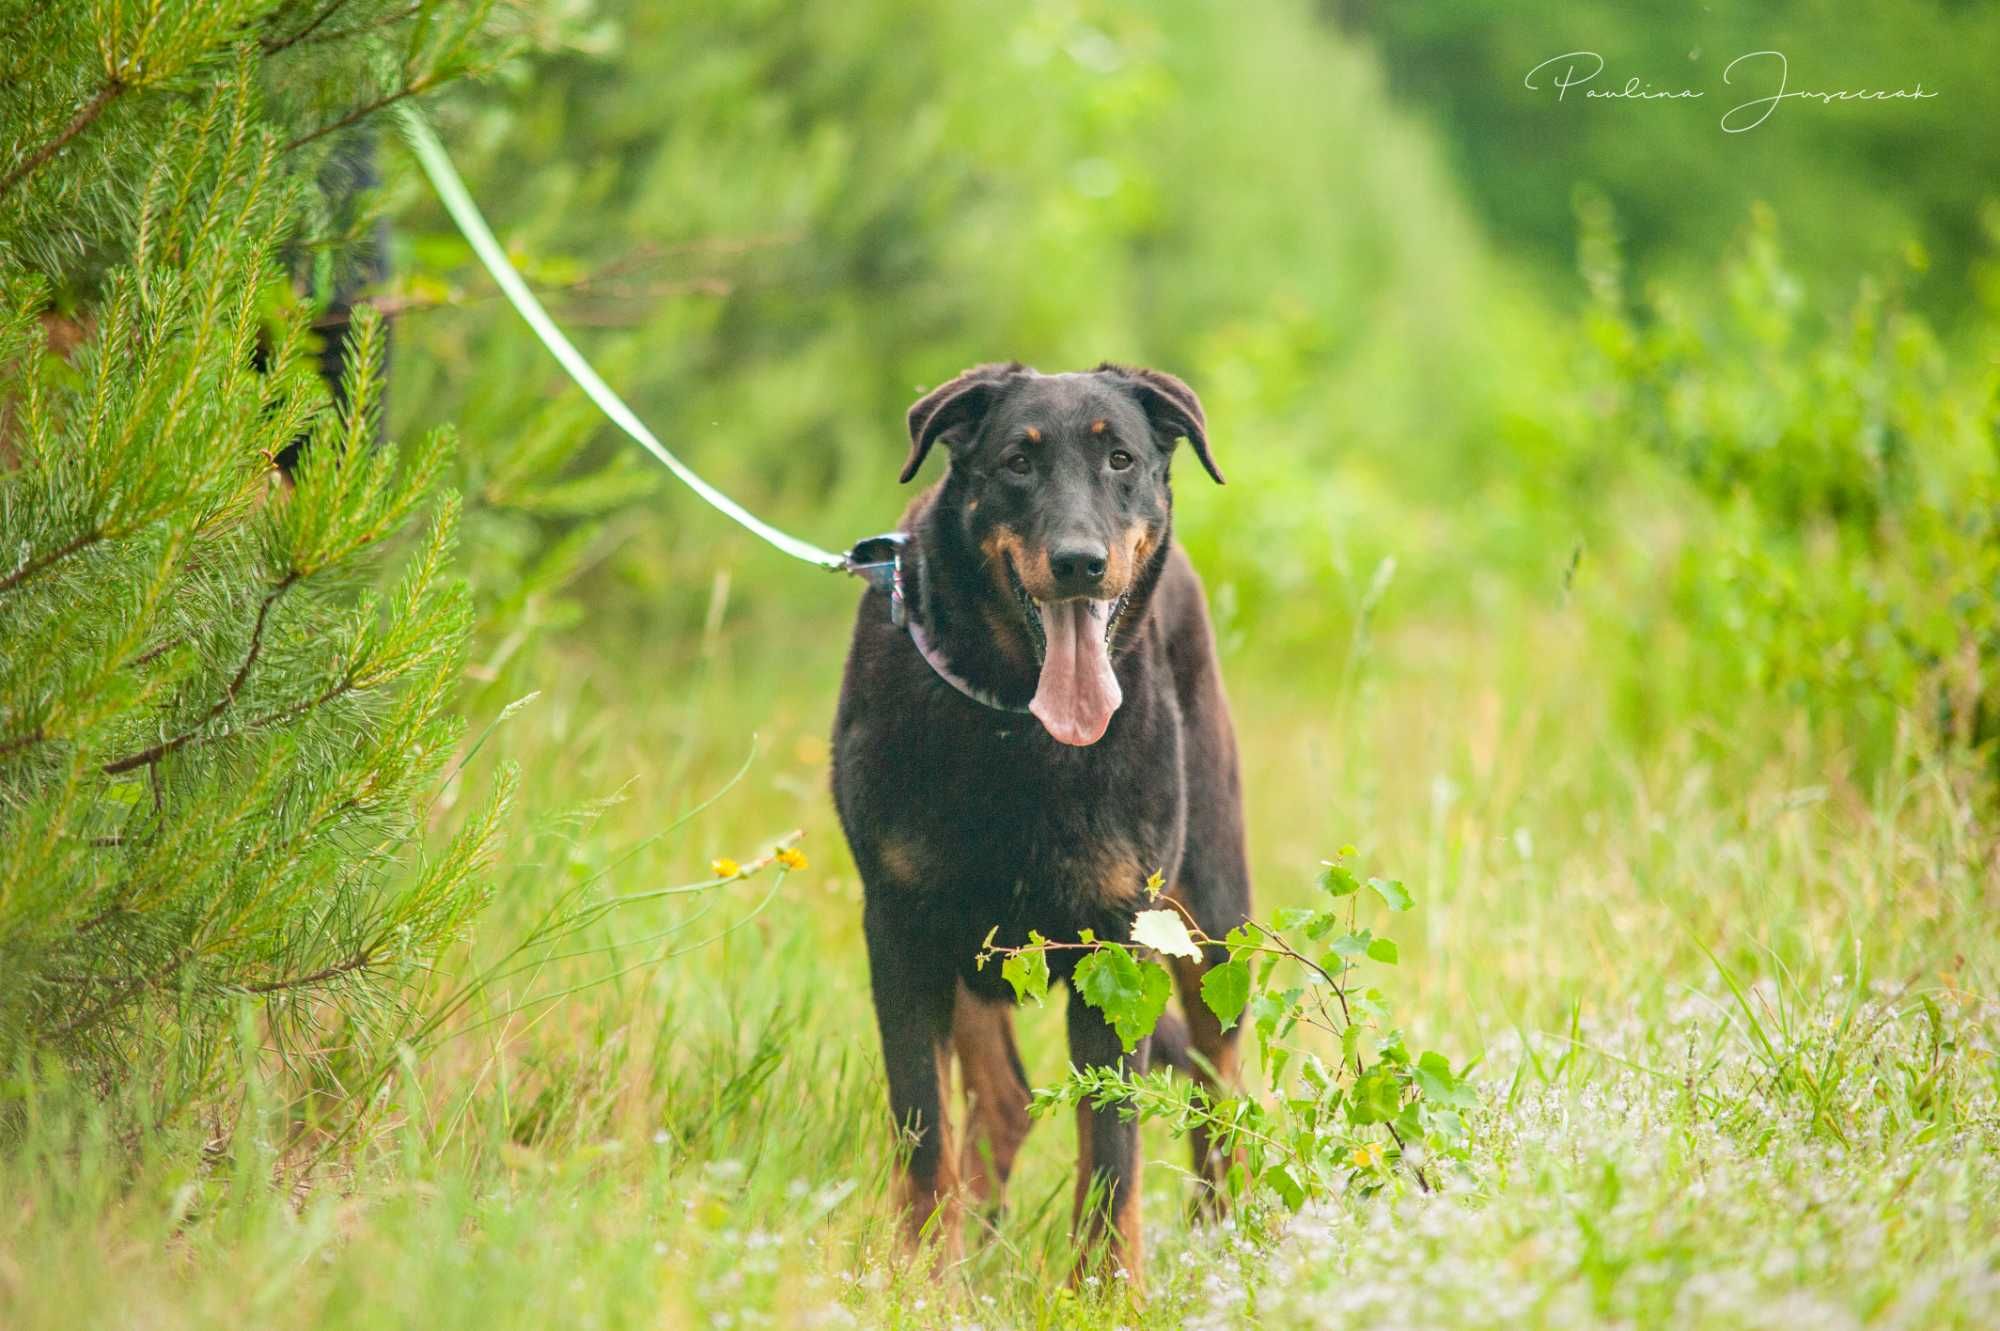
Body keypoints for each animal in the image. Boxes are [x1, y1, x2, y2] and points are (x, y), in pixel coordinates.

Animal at [828, 357, 1248, 1271]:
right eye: (1017, 462)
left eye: (1121, 458)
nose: (1080, 562)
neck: (1015, 719)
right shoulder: (901, 927)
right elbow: (924, 1129)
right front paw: (922, 1275)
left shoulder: (1119, 939)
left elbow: (1113, 1150)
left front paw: (1106, 1285)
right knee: (1002, 1100)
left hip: (1214, 911)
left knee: (1219, 1082)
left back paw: (1225, 1233)